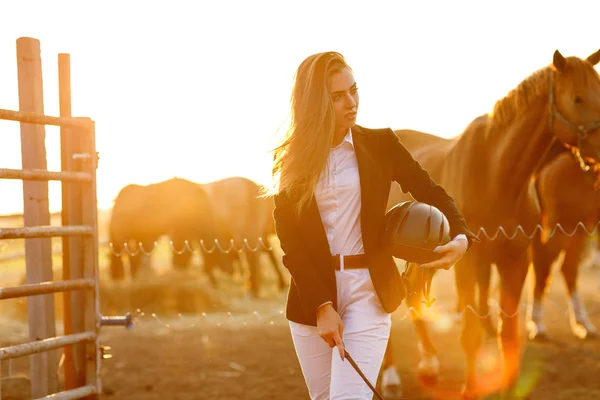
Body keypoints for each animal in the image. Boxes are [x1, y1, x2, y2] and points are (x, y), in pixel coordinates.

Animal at [380, 50, 600, 400]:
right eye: (578, 98)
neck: (496, 175)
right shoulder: (468, 262)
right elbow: (471, 333)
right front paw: (470, 388)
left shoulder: (516, 260)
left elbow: (507, 332)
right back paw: (390, 375)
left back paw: (429, 361)